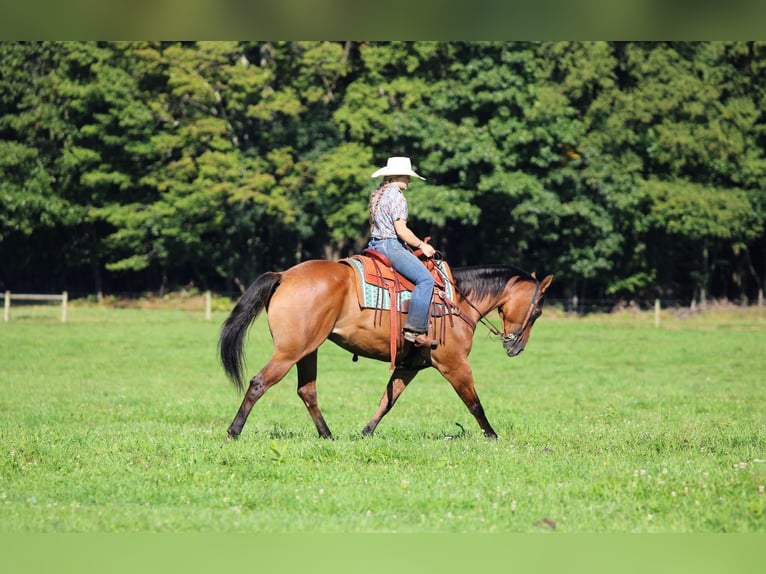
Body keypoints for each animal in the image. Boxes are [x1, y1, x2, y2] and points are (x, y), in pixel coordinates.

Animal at [218, 256, 553, 439]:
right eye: (537, 312)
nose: (516, 348)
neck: (456, 299)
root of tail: (285, 275)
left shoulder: (408, 366)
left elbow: (386, 401)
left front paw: (366, 432)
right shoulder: (455, 364)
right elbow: (474, 403)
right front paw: (492, 435)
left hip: (307, 350)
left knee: (307, 391)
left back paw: (327, 435)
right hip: (290, 352)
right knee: (259, 383)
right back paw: (234, 431)